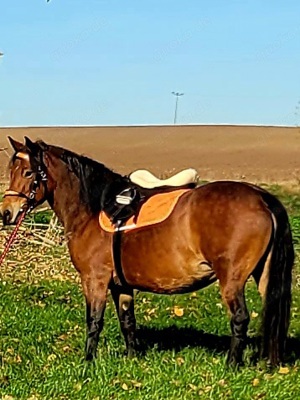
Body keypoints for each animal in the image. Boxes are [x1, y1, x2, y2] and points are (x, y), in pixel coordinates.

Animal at [1, 137, 294, 366]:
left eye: (28, 173)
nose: (6, 213)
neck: (95, 208)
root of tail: (261, 197)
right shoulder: (121, 285)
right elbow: (127, 321)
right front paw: (132, 358)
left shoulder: (94, 280)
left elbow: (94, 321)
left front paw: (88, 361)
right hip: (263, 276)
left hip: (232, 279)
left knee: (240, 318)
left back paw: (232, 365)